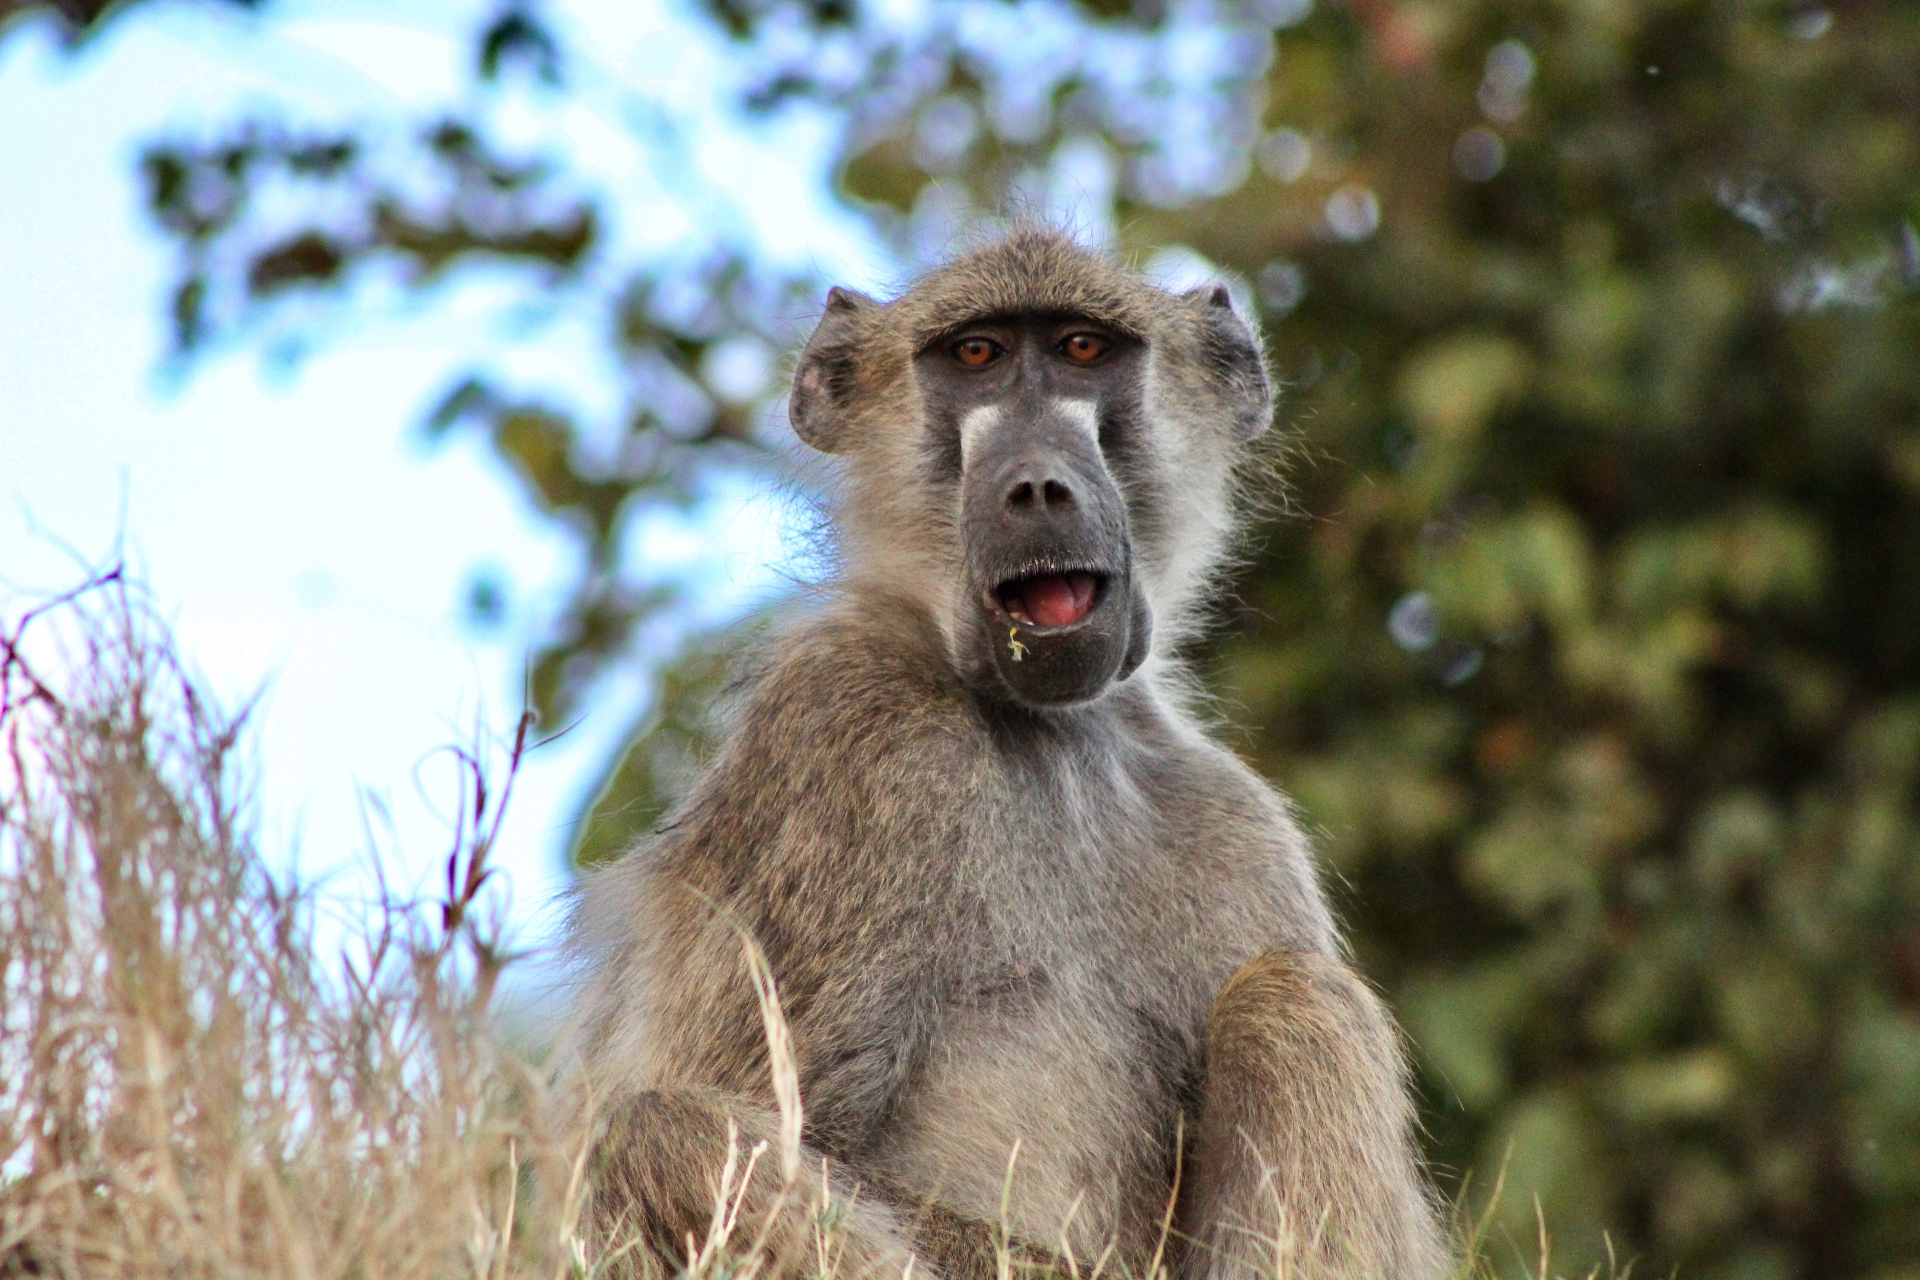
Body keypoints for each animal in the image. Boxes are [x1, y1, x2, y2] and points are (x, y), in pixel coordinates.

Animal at [564, 227, 1448, 1280]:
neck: (1049, 731)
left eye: (1082, 350)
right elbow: (772, 1120)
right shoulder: (847, 732)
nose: (1037, 484)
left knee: (1297, 1002)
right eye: (976, 356)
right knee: (663, 1132)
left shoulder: (1234, 817)